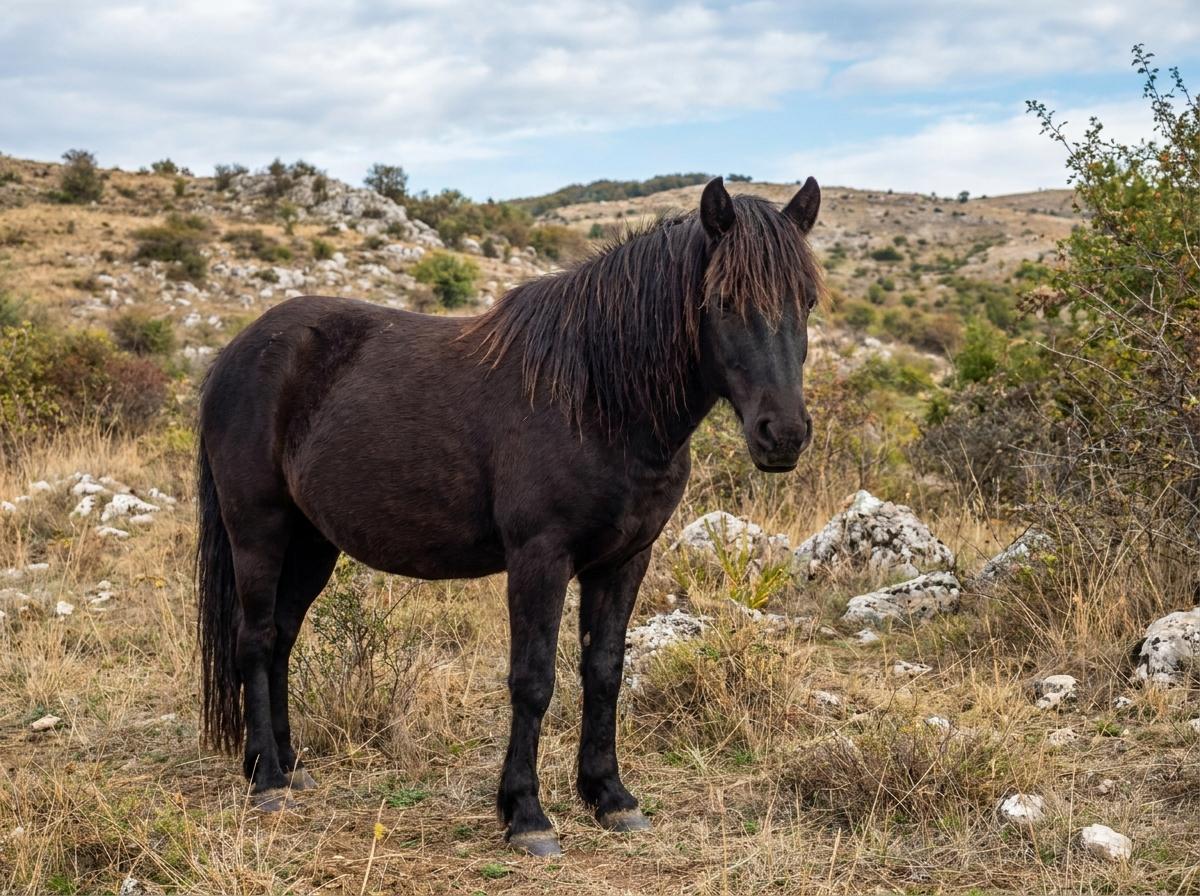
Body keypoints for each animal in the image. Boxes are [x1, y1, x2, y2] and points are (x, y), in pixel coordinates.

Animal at [196, 175, 823, 856]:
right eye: (725, 301)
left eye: (808, 303)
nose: (784, 435)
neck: (597, 396)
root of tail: (236, 351)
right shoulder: (538, 559)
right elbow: (534, 679)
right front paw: (526, 814)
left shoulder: (626, 559)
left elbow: (604, 671)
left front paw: (610, 796)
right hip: (258, 530)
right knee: (255, 640)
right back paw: (266, 780)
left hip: (312, 542)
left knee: (282, 637)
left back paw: (290, 765)